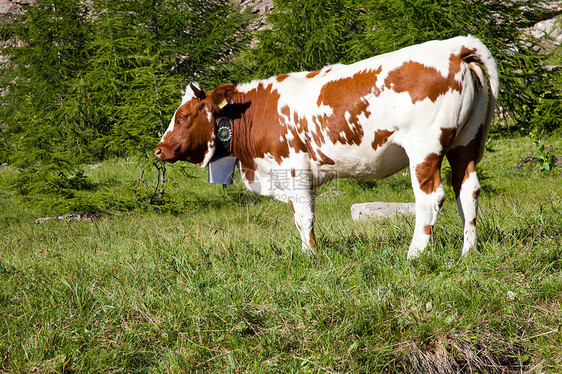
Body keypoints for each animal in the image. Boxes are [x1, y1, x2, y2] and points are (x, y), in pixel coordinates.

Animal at [152, 36, 494, 260]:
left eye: (182, 116)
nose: (159, 149)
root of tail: (455, 47)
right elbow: (300, 216)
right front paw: (308, 252)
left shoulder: (292, 169)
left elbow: (304, 216)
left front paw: (311, 257)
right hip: (465, 143)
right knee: (467, 191)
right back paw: (468, 253)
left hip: (424, 148)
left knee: (430, 197)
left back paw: (415, 254)